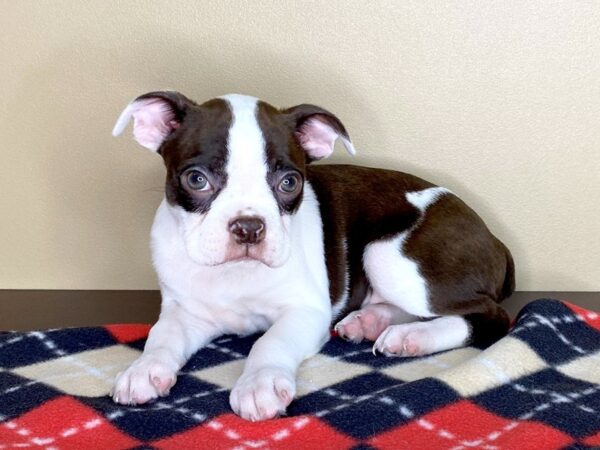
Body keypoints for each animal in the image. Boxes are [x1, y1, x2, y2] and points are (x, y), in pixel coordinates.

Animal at [110, 91, 512, 422]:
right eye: (196, 179)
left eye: (290, 182)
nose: (249, 227)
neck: (236, 273)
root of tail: (494, 239)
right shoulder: (185, 311)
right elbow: (161, 335)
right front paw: (142, 369)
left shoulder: (305, 311)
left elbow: (269, 341)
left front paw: (259, 383)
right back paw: (374, 323)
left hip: (387, 254)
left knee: (489, 316)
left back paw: (413, 336)